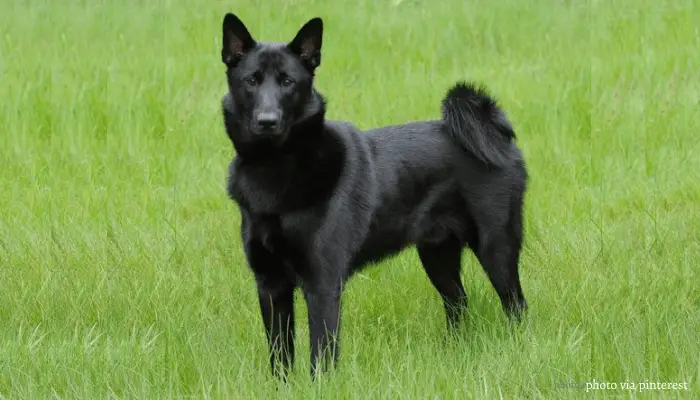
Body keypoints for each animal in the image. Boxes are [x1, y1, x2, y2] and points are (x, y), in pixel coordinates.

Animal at [221, 13, 528, 378]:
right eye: (251, 81)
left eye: (287, 82)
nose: (267, 121)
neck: (275, 169)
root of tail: (497, 133)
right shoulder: (270, 284)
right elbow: (280, 355)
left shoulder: (323, 284)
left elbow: (321, 355)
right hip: (437, 253)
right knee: (458, 302)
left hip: (496, 247)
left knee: (516, 306)